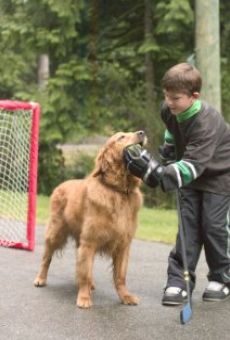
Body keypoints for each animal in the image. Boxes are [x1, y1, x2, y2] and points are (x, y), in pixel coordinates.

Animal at [33, 130, 146, 308]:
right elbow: (84, 272)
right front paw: (84, 298)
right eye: (121, 137)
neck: (118, 191)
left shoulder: (123, 244)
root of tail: (61, 185)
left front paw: (125, 296)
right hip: (56, 233)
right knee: (46, 257)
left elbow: (120, 276)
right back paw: (40, 278)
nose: (142, 133)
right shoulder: (89, 242)